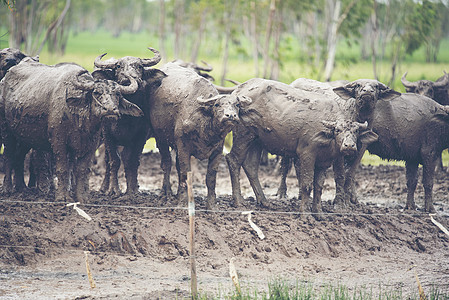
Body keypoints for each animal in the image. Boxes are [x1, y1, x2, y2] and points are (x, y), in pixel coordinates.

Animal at [0, 61, 142, 203]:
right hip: (7, 132)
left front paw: (82, 197)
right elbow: (63, 169)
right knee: (9, 156)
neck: (78, 117)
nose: (111, 110)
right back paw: (7, 188)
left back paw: (22, 188)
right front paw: (62, 196)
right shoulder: (59, 143)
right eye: (96, 92)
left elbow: (81, 170)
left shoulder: (90, 146)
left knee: (19, 157)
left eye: (117, 94)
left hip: (24, 137)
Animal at [92, 48, 166, 196]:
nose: (128, 79)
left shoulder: (140, 136)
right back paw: (104, 188)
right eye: (118, 66)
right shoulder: (108, 135)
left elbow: (132, 161)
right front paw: (114, 189)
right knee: (107, 161)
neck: (126, 119)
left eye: (139, 66)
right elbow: (114, 161)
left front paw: (132, 190)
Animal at [149, 62, 250, 210]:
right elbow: (185, 174)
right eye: (217, 104)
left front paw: (212, 206)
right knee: (167, 164)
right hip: (161, 138)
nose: (230, 116)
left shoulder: (217, 150)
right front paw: (183, 203)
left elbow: (211, 177)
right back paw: (165, 194)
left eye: (236, 104)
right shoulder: (183, 147)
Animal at [224, 78, 378, 216]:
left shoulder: (323, 162)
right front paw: (305, 213)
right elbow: (306, 184)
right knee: (233, 159)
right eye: (338, 130)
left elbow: (319, 187)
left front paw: (318, 213)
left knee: (250, 166)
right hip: (243, 134)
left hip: (257, 139)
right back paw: (238, 201)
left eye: (356, 131)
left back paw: (264, 201)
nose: (349, 146)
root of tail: (238, 90)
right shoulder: (306, 154)